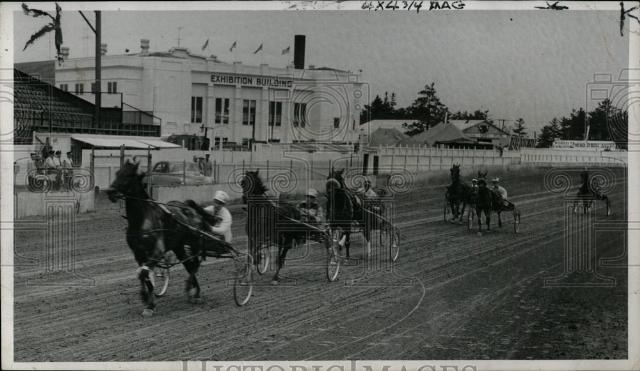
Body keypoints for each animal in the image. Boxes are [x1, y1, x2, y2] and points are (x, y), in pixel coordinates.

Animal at [107, 160, 208, 316]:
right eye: (117, 172)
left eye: (129, 175)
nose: (110, 191)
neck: (141, 220)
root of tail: (190, 208)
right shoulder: (139, 254)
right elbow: (144, 274)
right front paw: (149, 304)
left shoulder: (158, 250)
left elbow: (143, 273)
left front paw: (146, 299)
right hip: (178, 247)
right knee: (189, 265)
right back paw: (194, 292)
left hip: (195, 242)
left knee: (194, 264)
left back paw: (193, 291)